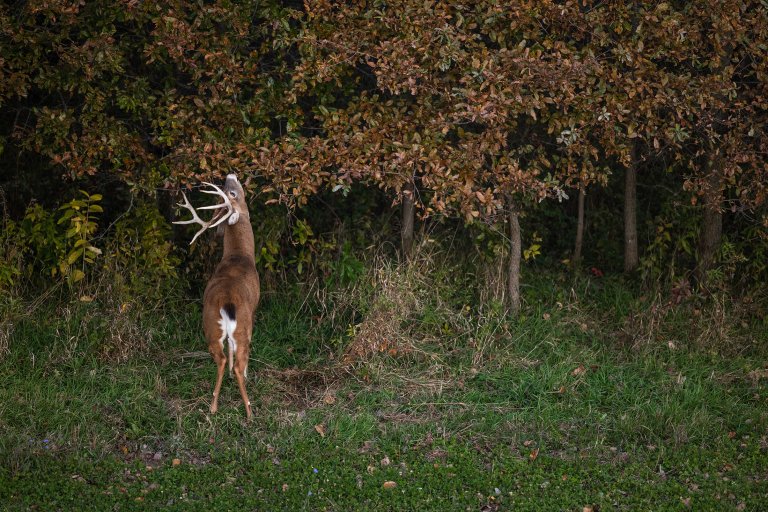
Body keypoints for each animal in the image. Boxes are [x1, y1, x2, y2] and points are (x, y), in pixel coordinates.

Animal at [174, 174, 260, 420]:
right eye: (232, 193)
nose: (230, 175)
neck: (239, 255)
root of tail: (226, 301)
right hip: (238, 325)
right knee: (235, 359)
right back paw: (245, 410)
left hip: (214, 325)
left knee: (222, 354)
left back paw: (217, 403)